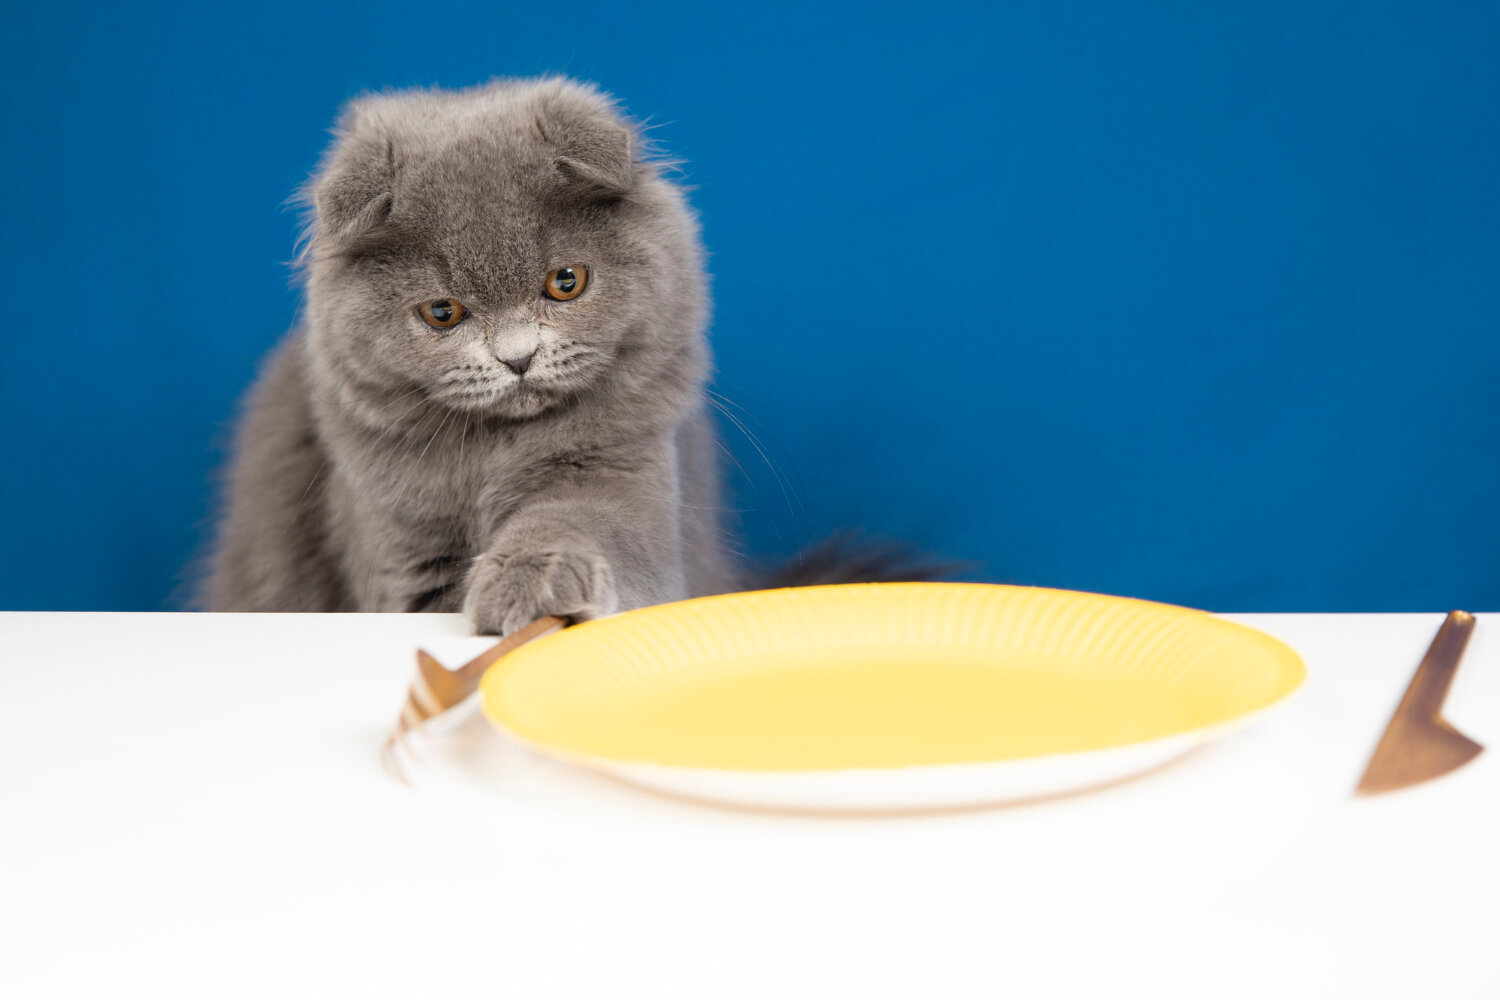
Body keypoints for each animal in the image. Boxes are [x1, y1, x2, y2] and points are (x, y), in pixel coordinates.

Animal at [207, 78, 918, 632]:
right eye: (443, 314)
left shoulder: (620, 472)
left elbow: (581, 526)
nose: (517, 359)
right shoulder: (394, 540)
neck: (493, 457)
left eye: (565, 282)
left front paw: (534, 580)